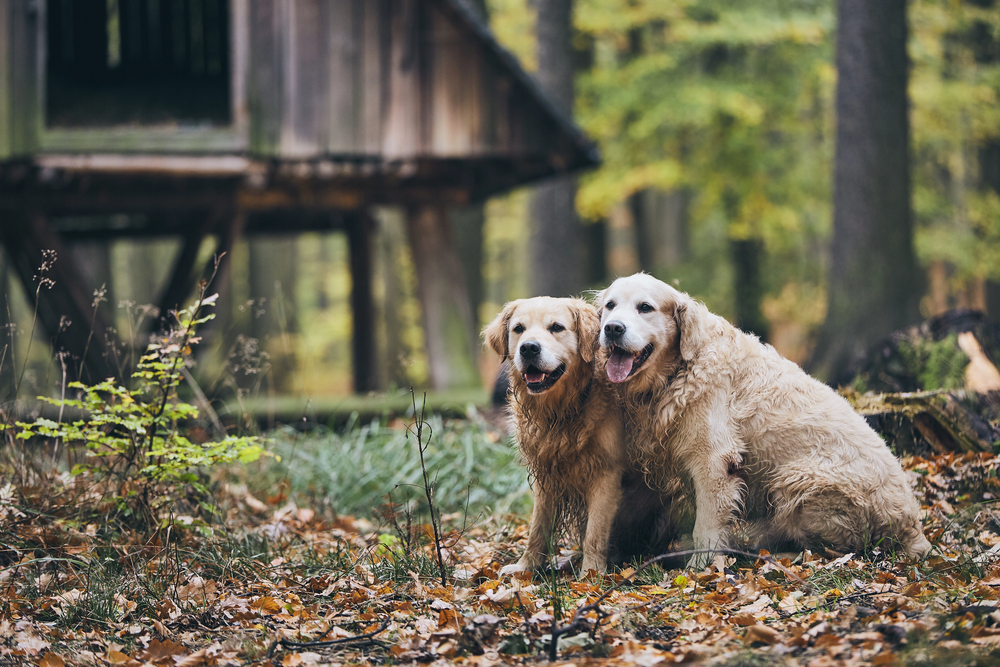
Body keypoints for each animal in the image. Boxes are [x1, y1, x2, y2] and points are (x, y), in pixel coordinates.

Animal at [482, 298, 672, 576]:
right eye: (518, 329)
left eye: (556, 327)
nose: (528, 348)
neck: (562, 410)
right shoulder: (545, 475)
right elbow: (538, 527)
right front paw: (526, 566)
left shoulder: (606, 475)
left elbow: (595, 532)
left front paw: (591, 575)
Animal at [592, 274, 928, 568]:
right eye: (610, 305)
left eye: (645, 307)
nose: (612, 329)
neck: (676, 372)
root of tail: (913, 526)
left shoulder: (713, 461)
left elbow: (707, 524)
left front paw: (702, 566)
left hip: (796, 479)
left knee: (828, 546)